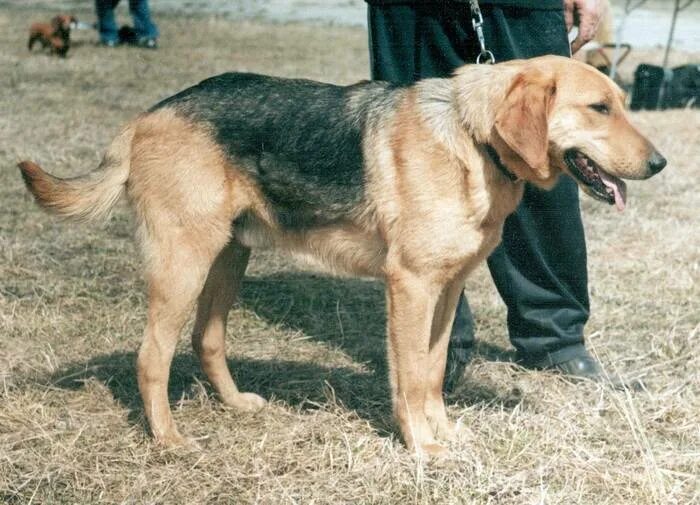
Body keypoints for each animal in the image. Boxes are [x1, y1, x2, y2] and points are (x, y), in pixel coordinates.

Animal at [19, 56, 668, 456]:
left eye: (621, 103)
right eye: (600, 109)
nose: (661, 163)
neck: (470, 136)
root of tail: (144, 119)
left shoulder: (446, 290)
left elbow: (432, 371)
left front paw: (443, 434)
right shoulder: (409, 287)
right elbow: (409, 378)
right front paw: (421, 447)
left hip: (228, 258)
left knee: (208, 339)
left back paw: (235, 405)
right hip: (184, 266)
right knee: (152, 356)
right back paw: (169, 440)